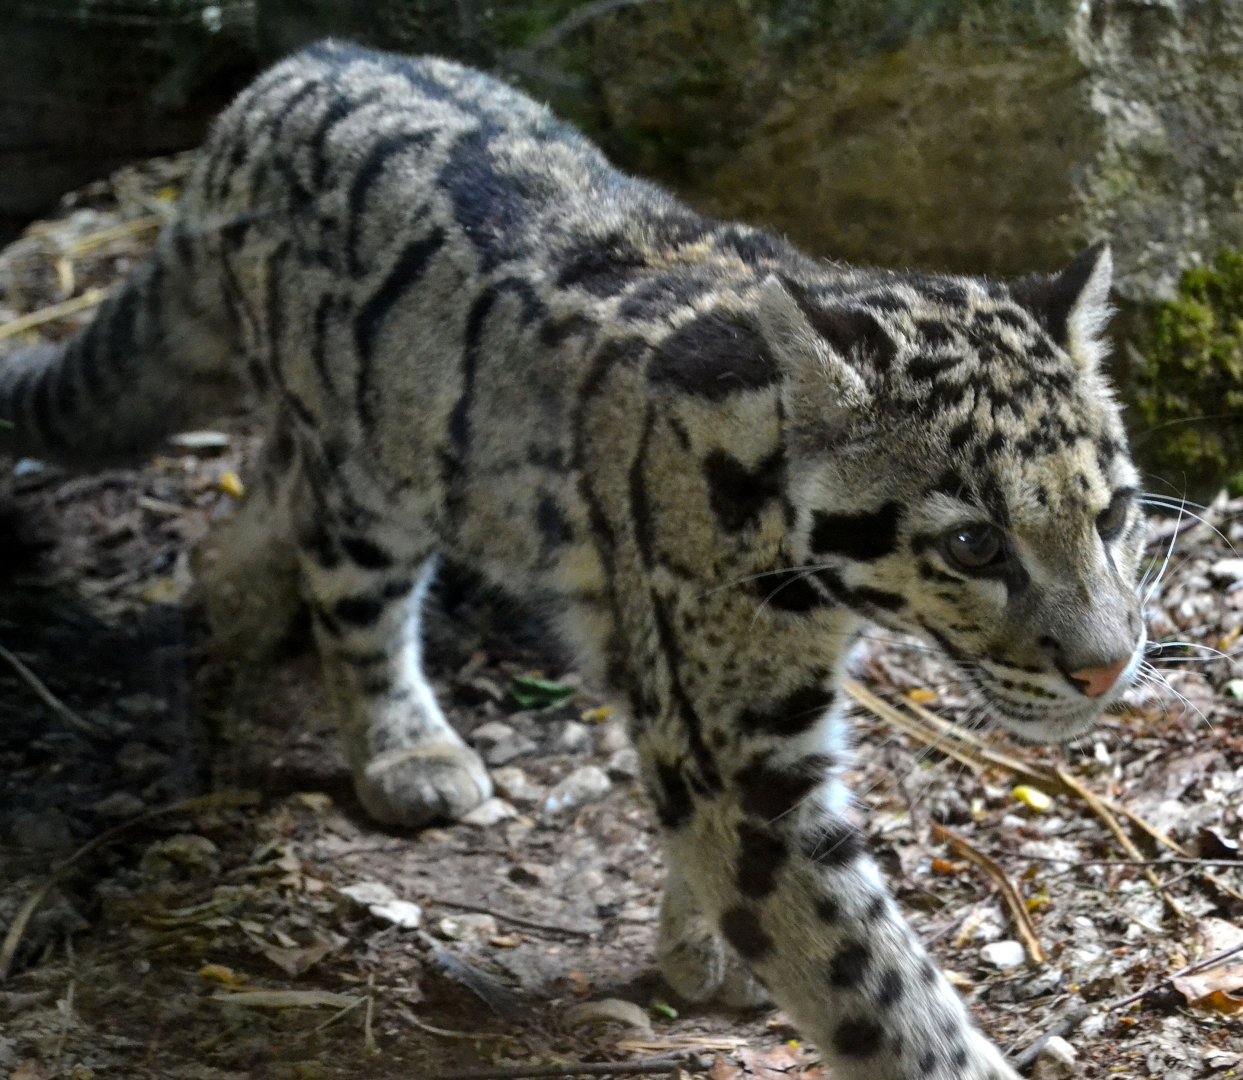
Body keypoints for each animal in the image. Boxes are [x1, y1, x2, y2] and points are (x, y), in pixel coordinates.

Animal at [0, 41, 1149, 1080]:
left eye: (1116, 512)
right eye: (972, 542)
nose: (1106, 667)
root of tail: (270, 83)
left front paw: (697, 948)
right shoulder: (736, 748)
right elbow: (869, 979)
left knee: (264, 499)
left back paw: (236, 598)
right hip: (367, 472)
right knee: (350, 593)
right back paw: (402, 745)